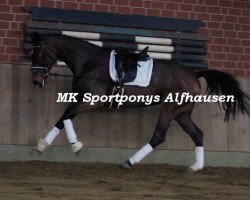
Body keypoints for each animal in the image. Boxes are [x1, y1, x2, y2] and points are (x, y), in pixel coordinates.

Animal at [30, 33, 249, 171]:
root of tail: (194, 74)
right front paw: (41, 146)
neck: (89, 64)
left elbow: (67, 117)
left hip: (169, 109)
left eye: (38, 52)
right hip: (181, 113)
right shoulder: (79, 98)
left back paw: (129, 162)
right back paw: (196, 167)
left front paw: (76, 146)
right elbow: (62, 118)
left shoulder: (93, 101)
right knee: (197, 134)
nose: (36, 81)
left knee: (159, 136)